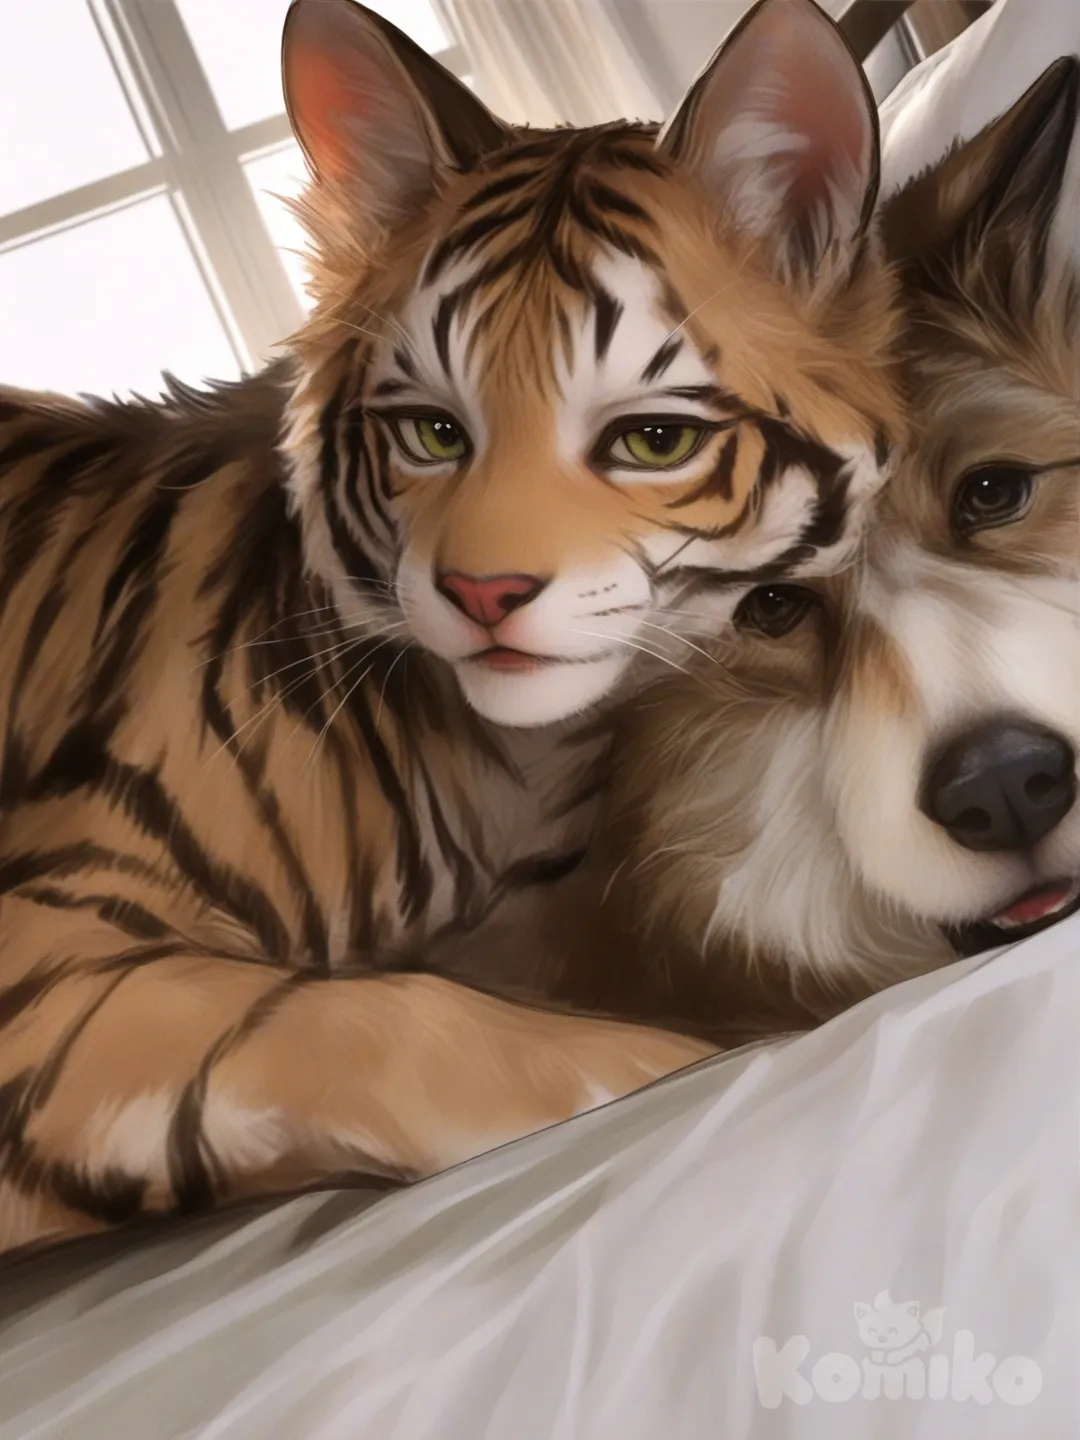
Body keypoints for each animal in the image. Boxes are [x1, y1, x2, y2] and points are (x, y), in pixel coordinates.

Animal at [0, 0, 901, 1255]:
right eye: (433, 433)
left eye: (652, 442)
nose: (484, 592)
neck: (518, 770)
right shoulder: (47, 956)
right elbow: (386, 1022)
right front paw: (677, 1058)